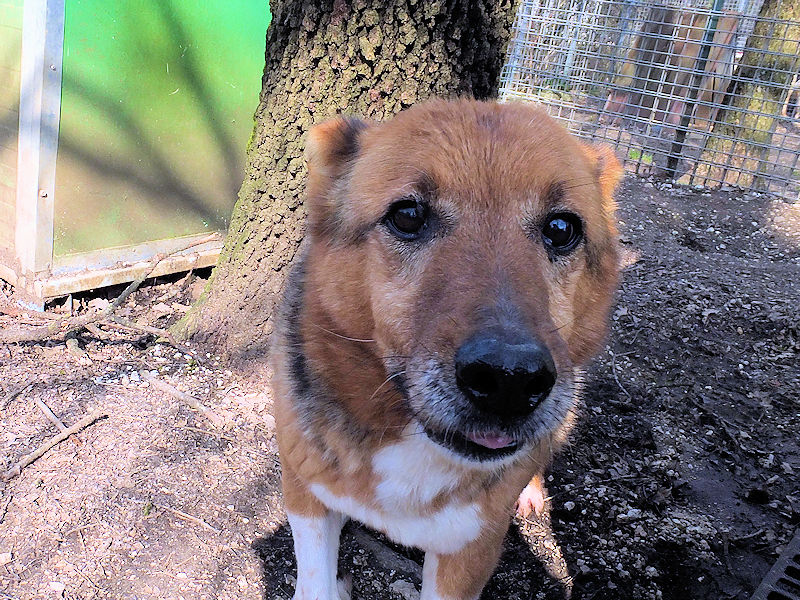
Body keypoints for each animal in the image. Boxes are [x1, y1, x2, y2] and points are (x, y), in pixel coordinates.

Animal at [271, 99, 622, 600]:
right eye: (408, 215)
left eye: (561, 228)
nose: (510, 380)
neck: (407, 431)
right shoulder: (305, 491)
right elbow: (315, 580)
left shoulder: (470, 550)